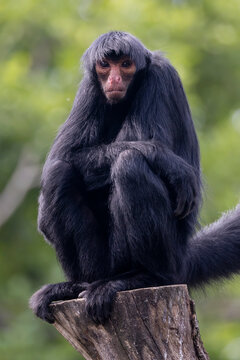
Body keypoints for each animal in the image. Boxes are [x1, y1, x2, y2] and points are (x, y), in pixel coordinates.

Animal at [29, 31, 240, 324]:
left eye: (126, 65)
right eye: (105, 66)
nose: (115, 79)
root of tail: (182, 258)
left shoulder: (161, 77)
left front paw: (165, 161)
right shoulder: (90, 88)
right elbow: (64, 154)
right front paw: (167, 161)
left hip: (161, 254)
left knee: (129, 163)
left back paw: (144, 278)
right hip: (102, 262)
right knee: (58, 172)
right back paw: (75, 286)